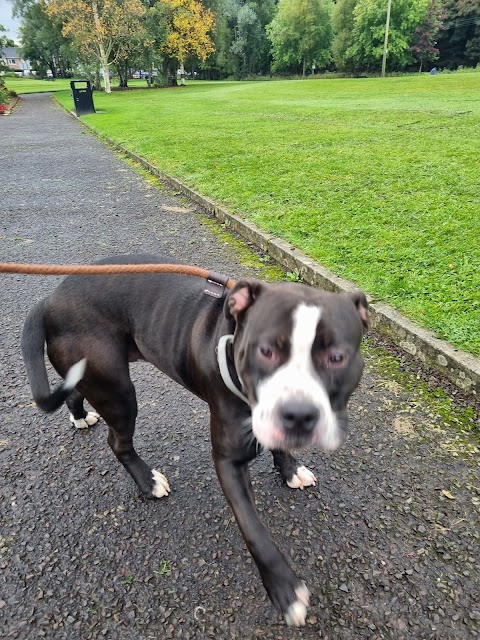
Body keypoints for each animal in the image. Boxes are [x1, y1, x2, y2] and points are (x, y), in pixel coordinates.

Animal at [21, 255, 368, 624]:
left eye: (337, 357)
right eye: (265, 351)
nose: (299, 414)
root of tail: (51, 300)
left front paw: (290, 469)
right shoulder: (228, 461)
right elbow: (254, 531)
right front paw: (285, 590)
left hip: (92, 377)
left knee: (74, 392)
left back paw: (80, 416)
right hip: (118, 392)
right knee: (118, 442)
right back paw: (147, 482)